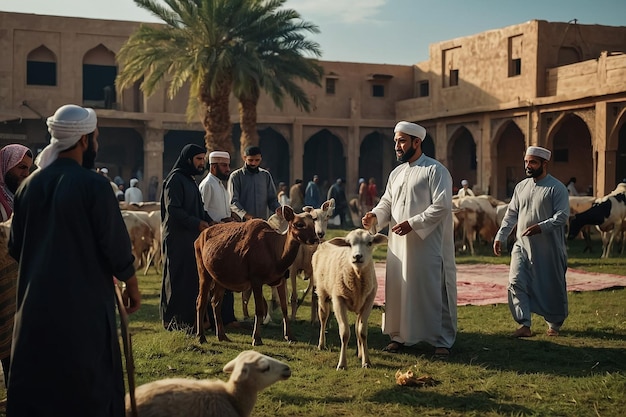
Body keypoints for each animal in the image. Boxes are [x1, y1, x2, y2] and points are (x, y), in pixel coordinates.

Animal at [194, 205, 316, 344]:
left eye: (313, 223)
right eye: (299, 224)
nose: (315, 238)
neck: (277, 257)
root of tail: (199, 238)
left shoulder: (280, 279)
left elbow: (284, 308)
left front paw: (290, 336)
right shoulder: (256, 279)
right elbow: (259, 309)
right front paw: (256, 338)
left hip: (220, 278)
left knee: (215, 302)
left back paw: (222, 336)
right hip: (203, 271)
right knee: (201, 301)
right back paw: (201, 336)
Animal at [312, 229, 386, 368]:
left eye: (370, 243)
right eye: (349, 244)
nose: (357, 256)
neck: (357, 274)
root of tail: (325, 242)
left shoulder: (368, 301)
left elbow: (362, 332)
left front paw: (366, 362)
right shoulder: (338, 300)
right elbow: (345, 333)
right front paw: (342, 364)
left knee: (357, 327)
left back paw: (360, 354)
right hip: (322, 293)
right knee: (323, 318)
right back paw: (321, 344)